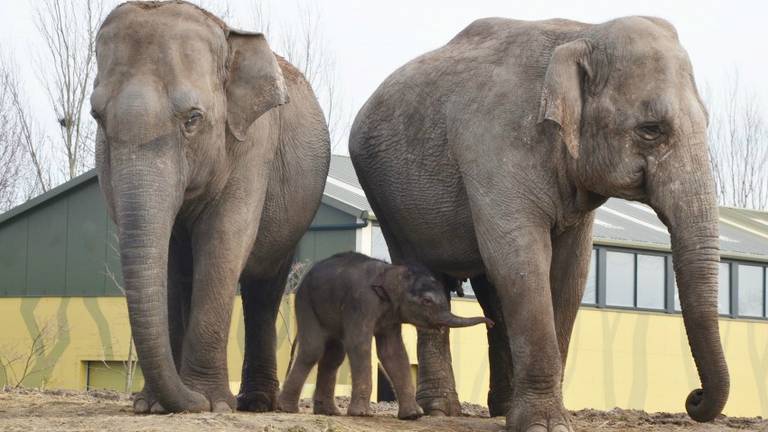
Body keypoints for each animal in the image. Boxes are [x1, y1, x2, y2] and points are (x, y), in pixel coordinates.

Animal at [91, 2, 330, 416]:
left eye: (193, 119)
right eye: (97, 119)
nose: (194, 402)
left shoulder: (254, 144)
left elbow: (224, 239)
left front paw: (213, 403)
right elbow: (170, 258)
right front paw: (154, 406)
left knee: (263, 289)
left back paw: (256, 404)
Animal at [276, 251, 492, 420]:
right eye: (426, 301)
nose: (491, 322)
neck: (391, 271)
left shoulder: (391, 315)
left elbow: (392, 351)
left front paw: (413, 415)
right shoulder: (361, 302)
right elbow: (359, 344)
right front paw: (362, 414)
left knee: (334, 356)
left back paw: (329, 412)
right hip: (306, 303)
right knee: (313, 350)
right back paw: (287, 409)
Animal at [352, 15, 728, 430]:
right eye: (651, 129)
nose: (694, 399)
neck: (582, 33)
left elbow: (570, 270)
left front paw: (539, 418)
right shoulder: (495, 147)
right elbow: (521, 261)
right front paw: (543, 424)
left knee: (491, 290)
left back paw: (500, 407)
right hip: (388, 202)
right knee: (426, 269)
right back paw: (439, 410)